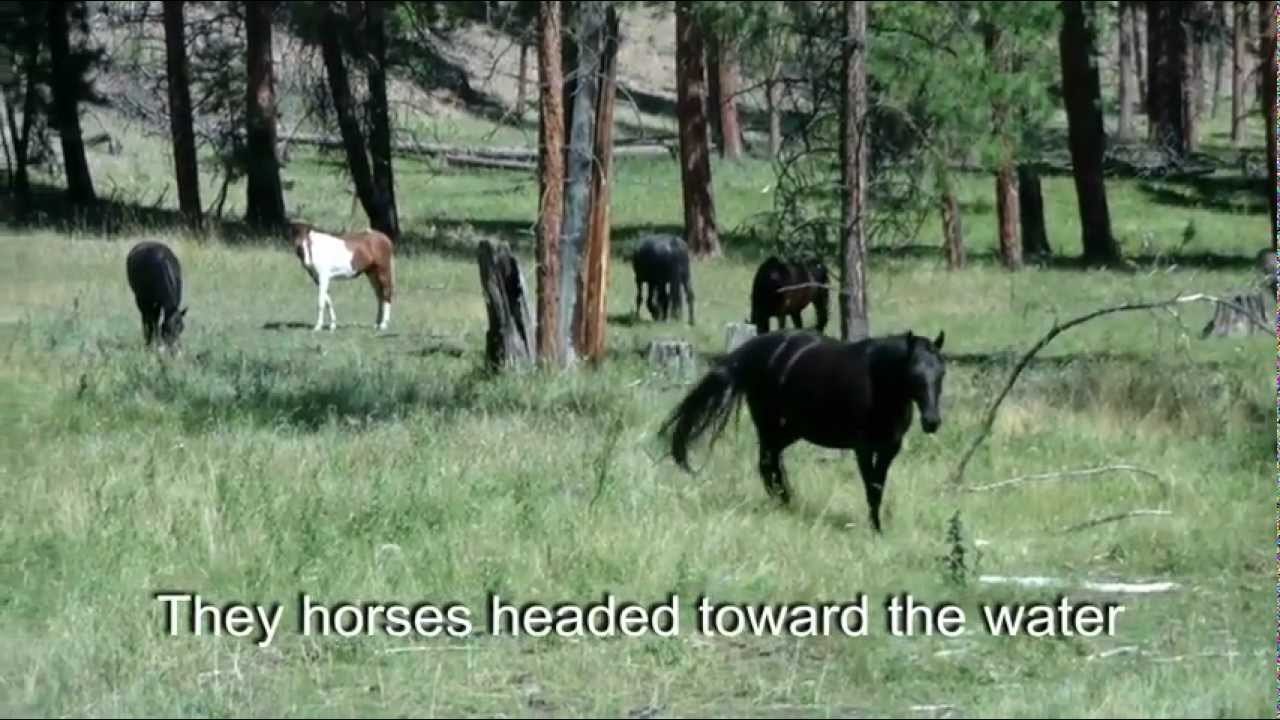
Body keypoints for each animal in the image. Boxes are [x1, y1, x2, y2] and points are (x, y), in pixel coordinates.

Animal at [658, 328, 947, 534]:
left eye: (941, 374)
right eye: (914, 374)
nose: (932, 421)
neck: (878, 384)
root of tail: (758, 349)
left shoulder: (889, 448)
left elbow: (878, 486)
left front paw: (877, 527)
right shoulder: (863, 448)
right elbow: (871, 487)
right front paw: (875, 529)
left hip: (791, 429)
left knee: (772, 462)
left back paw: (786, 500)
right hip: (769, 423)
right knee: (767, 462)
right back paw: (784, 502)